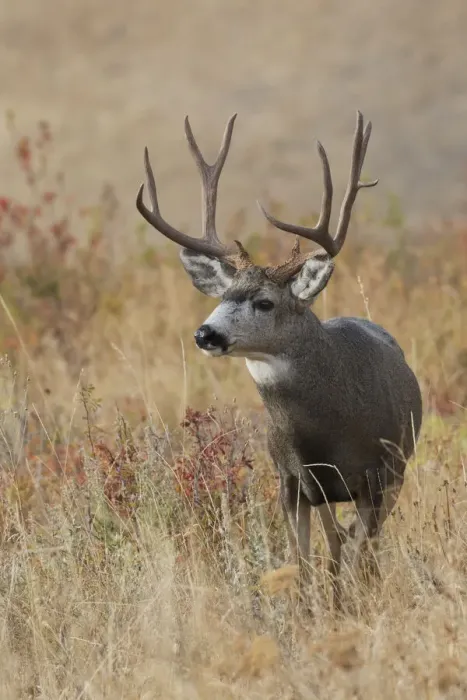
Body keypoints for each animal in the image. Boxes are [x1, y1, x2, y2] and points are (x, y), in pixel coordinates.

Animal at [136, 111, 423, 597]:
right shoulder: (293, 480)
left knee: (362, 545)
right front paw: (316, 606)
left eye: (265, 302)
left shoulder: (378, 473)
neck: (327, 431)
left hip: (397, 469)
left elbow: (355, 552)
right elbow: (304, 562)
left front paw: (353, 600)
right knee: (336, 543)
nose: (205, 333)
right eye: (223, 295)